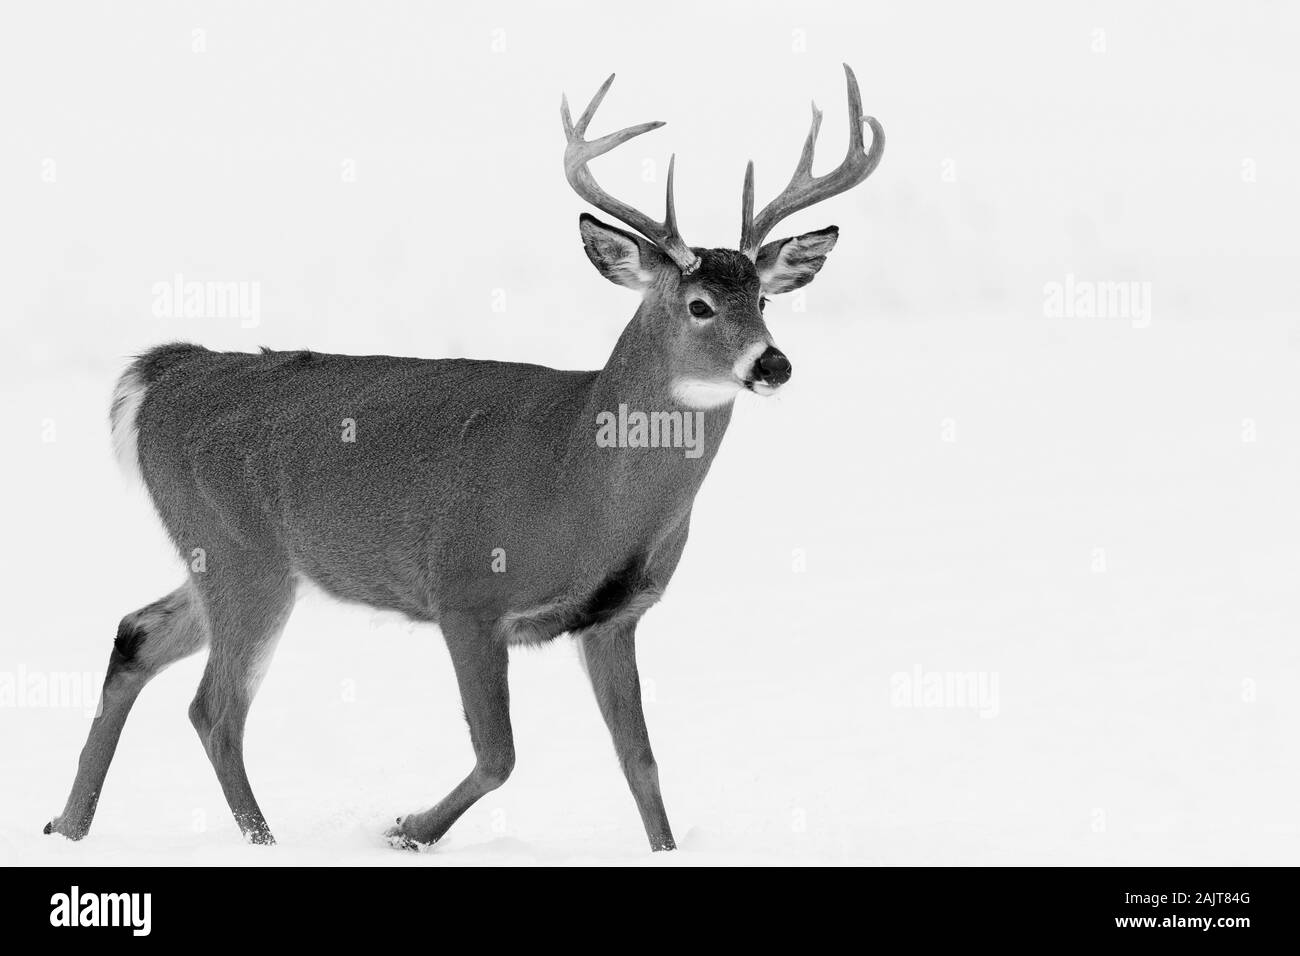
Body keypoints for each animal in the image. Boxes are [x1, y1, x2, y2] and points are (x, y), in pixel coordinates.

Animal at [43, 63, 883, 853]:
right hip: (242, 552)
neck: (581, 482)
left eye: (764, 301)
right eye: (699, 305)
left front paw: (665, 849)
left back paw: (67, 823)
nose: (772, 363)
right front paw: (406, 828)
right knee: (214, 709)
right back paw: (261, 840)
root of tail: (163, 374)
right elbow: (499, 754)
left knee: (136, 635)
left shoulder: (614, 617)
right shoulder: (467, 591)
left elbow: (640, 762)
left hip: (223, 554)